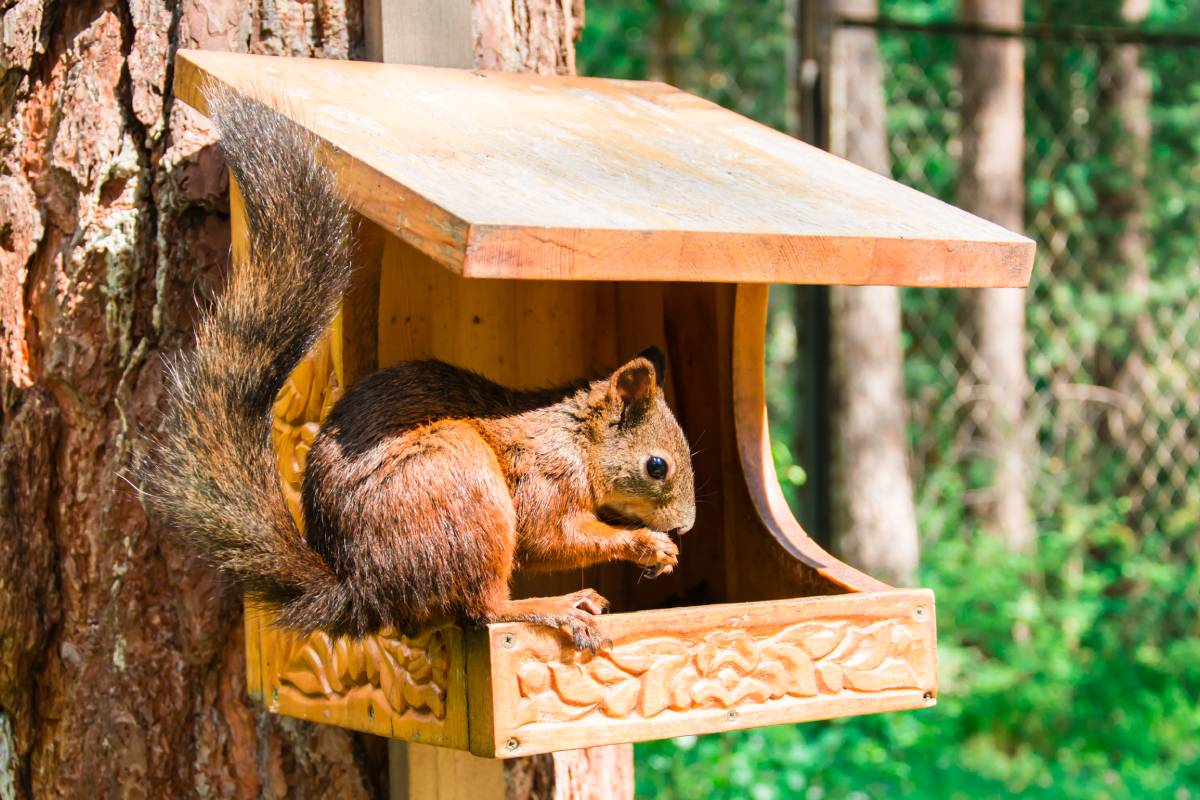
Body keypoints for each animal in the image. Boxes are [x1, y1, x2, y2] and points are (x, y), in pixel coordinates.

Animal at [139, 90, 696, 652]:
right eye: (657, 466)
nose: (685, 527)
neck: (576, 436)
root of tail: (364, 589)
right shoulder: (545, 476)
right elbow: (552, 537)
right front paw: (648, 545)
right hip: (458, 479)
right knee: (482, 608)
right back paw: (555, 607)